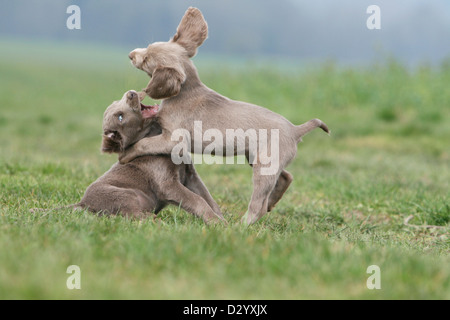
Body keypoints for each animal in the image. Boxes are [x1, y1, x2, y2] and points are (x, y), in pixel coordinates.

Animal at [123, 6, 330, 224]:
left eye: (147, 59)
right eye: (147, 47)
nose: (130, 54)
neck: (188, 90)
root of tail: (296, 129)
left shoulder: (172, 140)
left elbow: (144, 143)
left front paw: (126, 154)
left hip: (264, 166)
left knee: (258, 204)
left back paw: (242, 225)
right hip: (257, 158)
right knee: (286, 178)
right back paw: (271, 204)